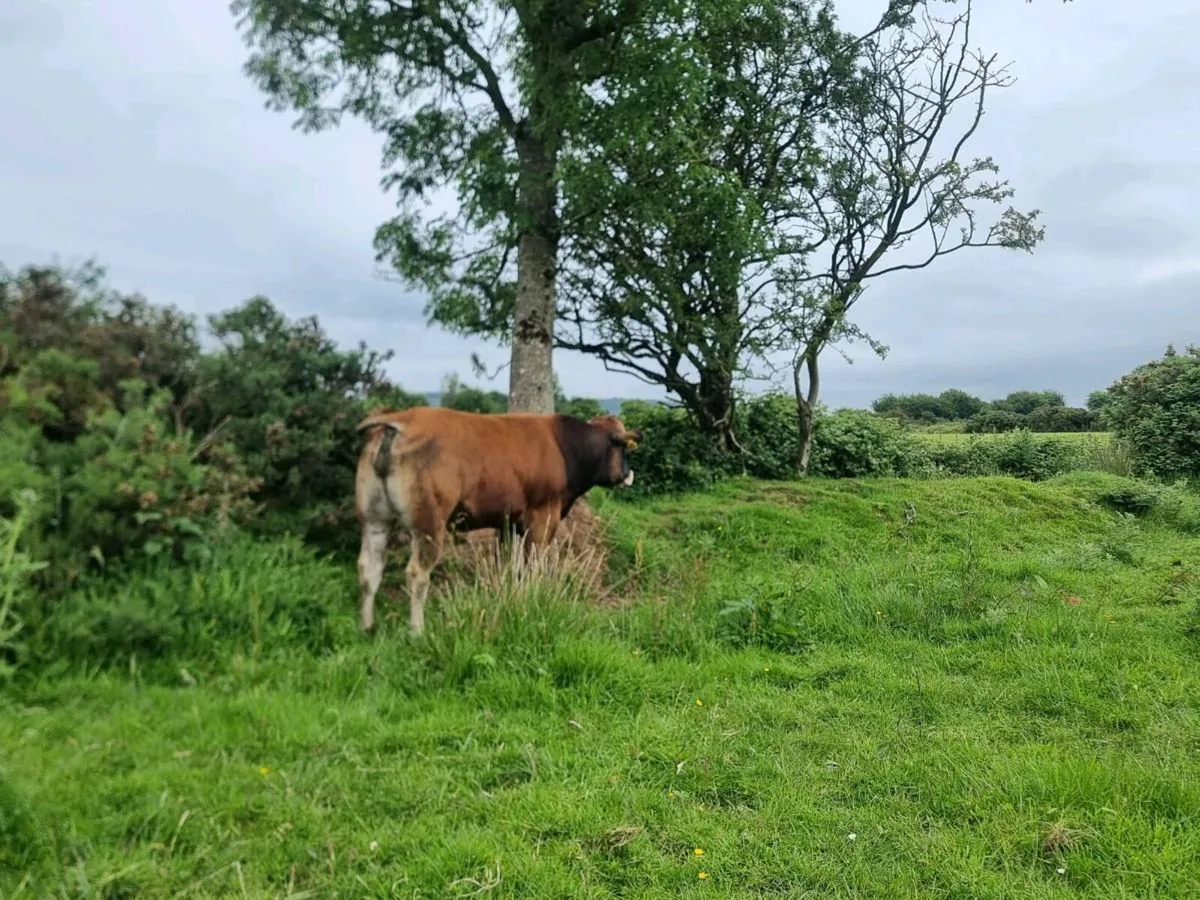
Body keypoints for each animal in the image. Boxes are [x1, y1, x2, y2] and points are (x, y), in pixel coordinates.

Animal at [353, 406, 643, 635]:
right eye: (624, 449)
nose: (627, 474)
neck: (566, 446)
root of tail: (401, 419)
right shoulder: (543, 517)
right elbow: (533, 565)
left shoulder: (507, 522)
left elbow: (507, 564)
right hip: (429, 524)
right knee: (416, 574)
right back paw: (417, 631)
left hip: (374, 519)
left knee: (369, 567)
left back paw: (368, 627)